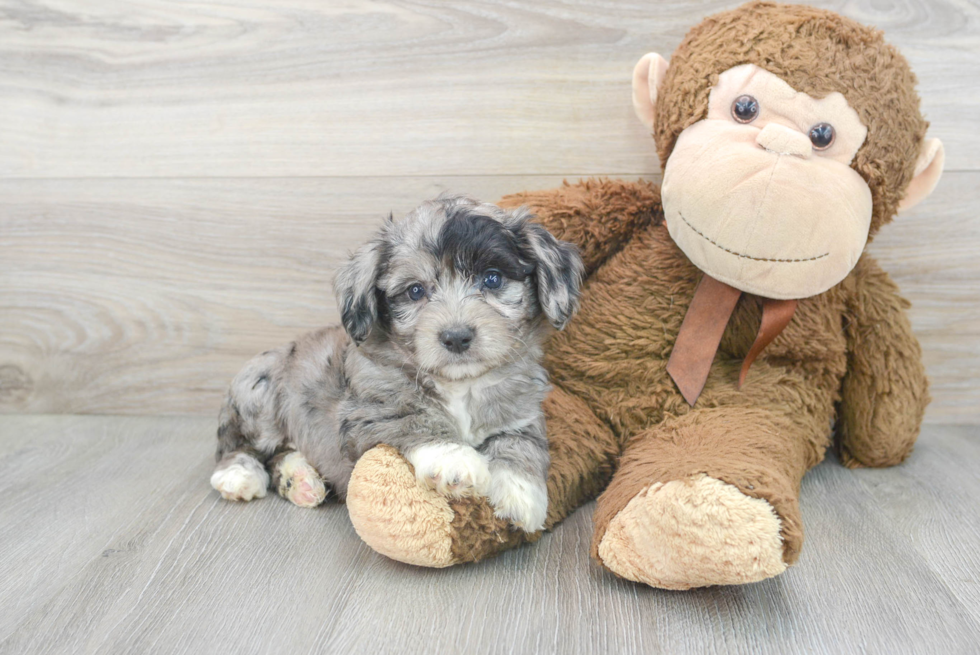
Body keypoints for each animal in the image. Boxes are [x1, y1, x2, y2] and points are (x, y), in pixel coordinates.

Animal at [209, 196, 580, 532]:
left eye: (492, 279)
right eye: (415, 291)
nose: (456, 337)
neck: (460, 384)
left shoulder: (522, 412)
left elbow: (521, 443)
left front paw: (521, 493)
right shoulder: (368, 412)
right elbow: (413, 417)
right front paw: (454, 458)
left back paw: (298, 479)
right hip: (259, 395)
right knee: (238, 446)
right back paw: (239, 475)